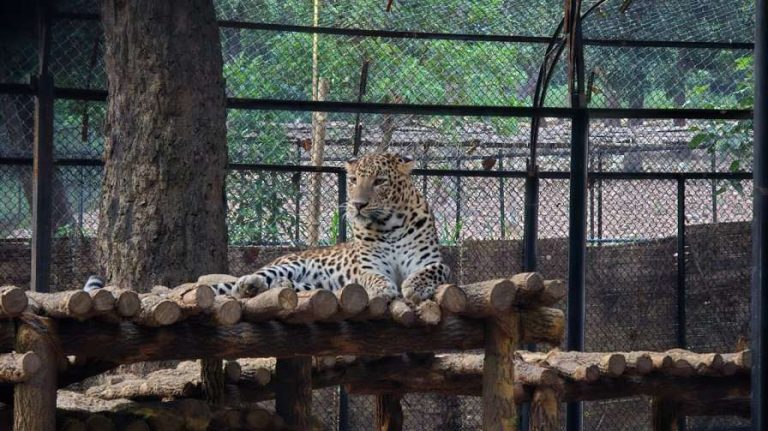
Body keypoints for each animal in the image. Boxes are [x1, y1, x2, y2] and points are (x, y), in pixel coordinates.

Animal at [217, 153, 450, 304]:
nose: (357, 204)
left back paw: (282, 285)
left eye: (380, 181)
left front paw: (415, 286)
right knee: (257, 276)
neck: (390, 225)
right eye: (354, 180)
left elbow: (436, 269)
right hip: (291, 263)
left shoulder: (429, 262)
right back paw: (250, 284)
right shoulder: (370, 267)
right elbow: (373, 276)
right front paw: (382, 288)